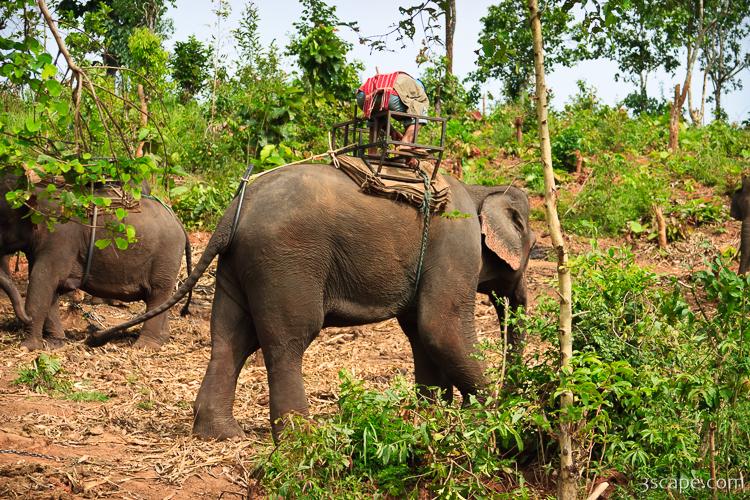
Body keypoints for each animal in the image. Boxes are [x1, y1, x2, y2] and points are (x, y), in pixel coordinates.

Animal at [1, 174, 194, 350]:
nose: (23, 318)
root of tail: (178, 222)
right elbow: (50, 289)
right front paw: (55, 342)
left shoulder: (59, 240)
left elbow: (42, 282)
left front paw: (28, 347)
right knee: (163, 297)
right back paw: (161, 339)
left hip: (166, 256)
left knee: (158, 293)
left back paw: (145, 345)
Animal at [88, 163, 536, 438]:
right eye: (533, 246)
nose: (514, 392)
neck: (479, 190)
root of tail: (234, 209)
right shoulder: (456, 244)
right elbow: (440, 327)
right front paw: (492, 415)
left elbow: (421, 332)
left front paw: (432, 414)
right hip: (285, 261)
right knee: (286, 341)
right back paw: (299, 437)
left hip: (238, 265)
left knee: (229, 339)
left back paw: (221, 433)